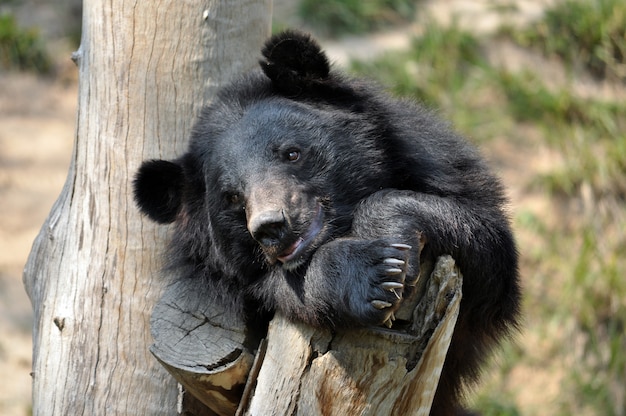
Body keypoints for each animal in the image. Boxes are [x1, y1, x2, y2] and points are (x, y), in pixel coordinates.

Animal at [134, 30, 520, 416]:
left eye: (292, 153)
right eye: (232, 198)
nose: (271, 227)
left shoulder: (438, 165)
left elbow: (487, 248)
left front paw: (395, 251)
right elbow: (285, 286)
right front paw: (375, 274)